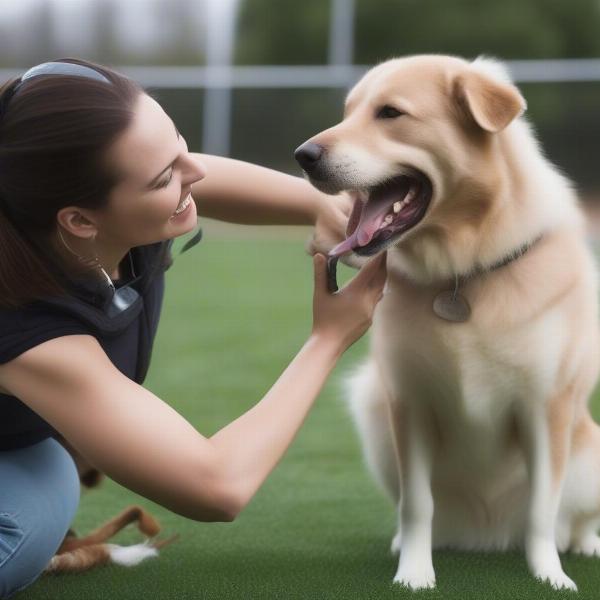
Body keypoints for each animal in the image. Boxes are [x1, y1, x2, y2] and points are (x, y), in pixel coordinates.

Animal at [294, 55, 600, 592]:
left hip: (593, 457)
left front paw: (548, 575)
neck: (463, 273)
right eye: (348, 113)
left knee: (573, 516)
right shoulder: (410, 405)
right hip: (372, 410)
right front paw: (415, 572)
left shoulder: (546, 407)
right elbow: (417, 505)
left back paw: (582, 543)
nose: (303, 155)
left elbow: (543, 511)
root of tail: (487, 536)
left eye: (390, 113)